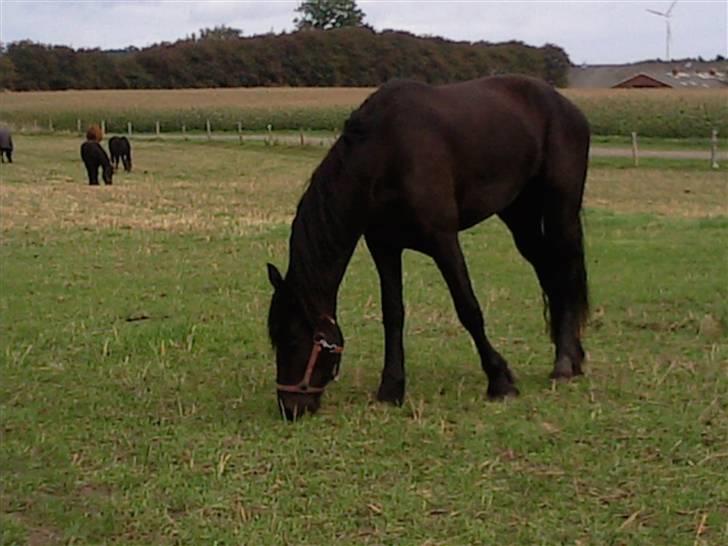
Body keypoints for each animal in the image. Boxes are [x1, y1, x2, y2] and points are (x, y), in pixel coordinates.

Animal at [268, 74, 592, 418]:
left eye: (292, 340)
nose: (290, 408)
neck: (386, 151)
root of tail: (567, 107)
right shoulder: (383, 246)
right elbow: (393, 314)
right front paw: (391, 388)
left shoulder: (443, 240)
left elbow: (468, 308)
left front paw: (500, 381)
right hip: (520, 215)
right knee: (549, 272)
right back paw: (572, 356)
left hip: (560, 210)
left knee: (565, 272)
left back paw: (564, 365)